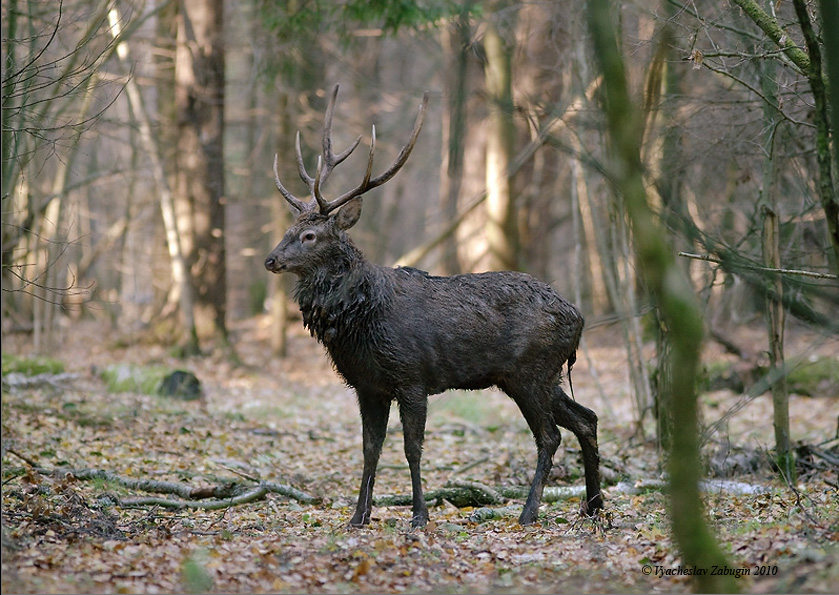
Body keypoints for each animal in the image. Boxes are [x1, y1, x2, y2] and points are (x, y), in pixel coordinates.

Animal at [266, 84, 600, 528]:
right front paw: (359, 516)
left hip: (531, 370)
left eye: (309, 235)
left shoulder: (412, 377)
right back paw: (594, 505)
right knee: (587, 418)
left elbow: (412, 448)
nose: (270, 260)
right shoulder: (367, 385)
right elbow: (370, 449)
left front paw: (419, 515)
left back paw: (529, 512)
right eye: (289, 229)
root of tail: (578, 318)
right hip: (541, 376)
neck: (361, 320)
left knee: (551, 435)